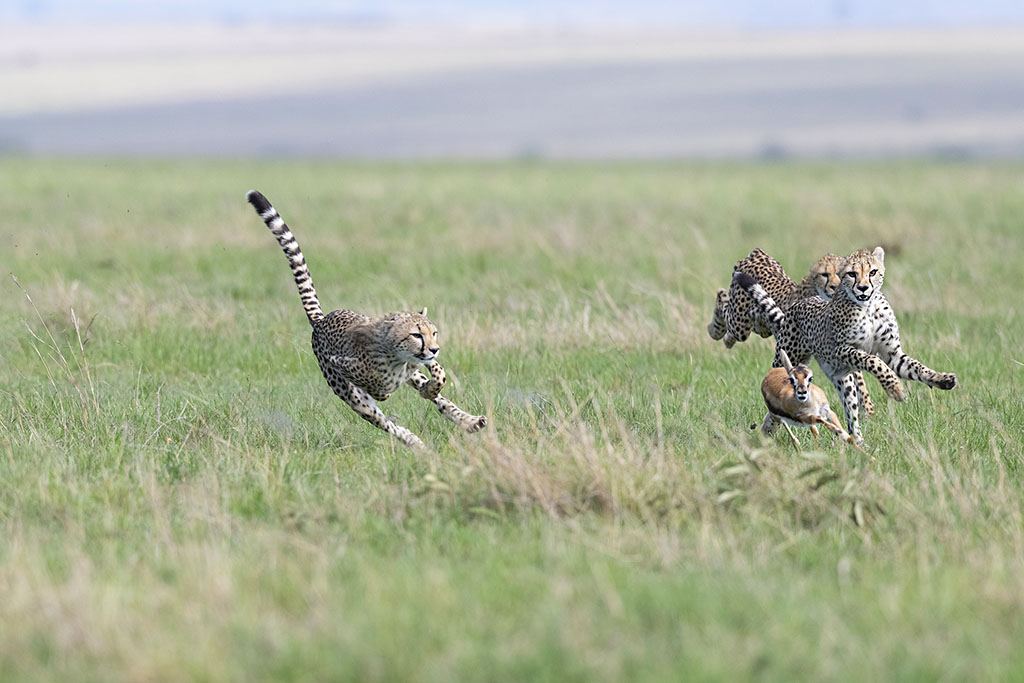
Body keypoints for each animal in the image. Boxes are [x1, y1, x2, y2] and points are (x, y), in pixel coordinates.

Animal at [246, 189, 487, 450]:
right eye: (416, 334)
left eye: (433, 333)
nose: (434, 348)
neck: (398, 356)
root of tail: (321, 319)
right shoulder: (342, 366)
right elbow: (377, 388)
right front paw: (395, 393)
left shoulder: (419, 364)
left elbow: (439, 375)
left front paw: (431, 389)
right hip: (350, 395)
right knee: (383, 420)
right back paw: (414, 442)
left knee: (432, 401)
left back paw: (468, 421)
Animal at [708, 248, 876, 413]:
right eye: (825, 274)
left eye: (842, 274)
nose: (835, 287)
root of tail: (756, 253)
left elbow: (858, 375)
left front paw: (868, 409)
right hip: (741, 325)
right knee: (724, 304)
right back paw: (717, 331)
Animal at [733, 248, 954, 446]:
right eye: (852, 274)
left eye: (872, 272)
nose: (863, 288)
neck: (868, 307)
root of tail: (795, 308)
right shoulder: (841, 350)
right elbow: (874, 361)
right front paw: (895, 389)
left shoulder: (892, 354)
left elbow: (917, 367)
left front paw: (942, 379)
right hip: (787, 359)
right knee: (774, 399)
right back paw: (770, 426)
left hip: (843, 381)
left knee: (851, 414)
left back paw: (857, 441)